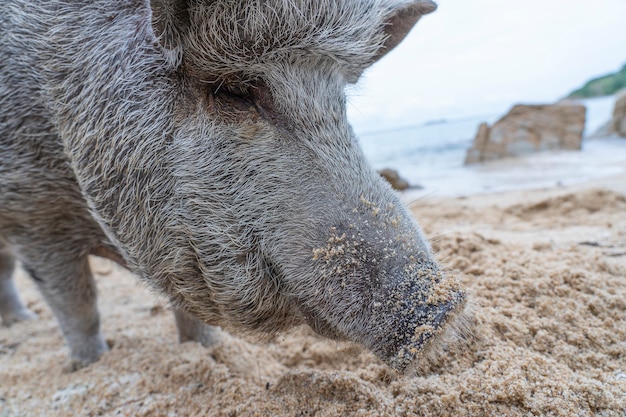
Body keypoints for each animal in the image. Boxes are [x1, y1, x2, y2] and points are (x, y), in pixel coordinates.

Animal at [1, 0, 468, 372]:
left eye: (339, 102)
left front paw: (206, 352)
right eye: (237, 91)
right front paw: (89, 366)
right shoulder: (35, 217)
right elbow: (78, 307)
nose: (444, 308)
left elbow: (189, 317)